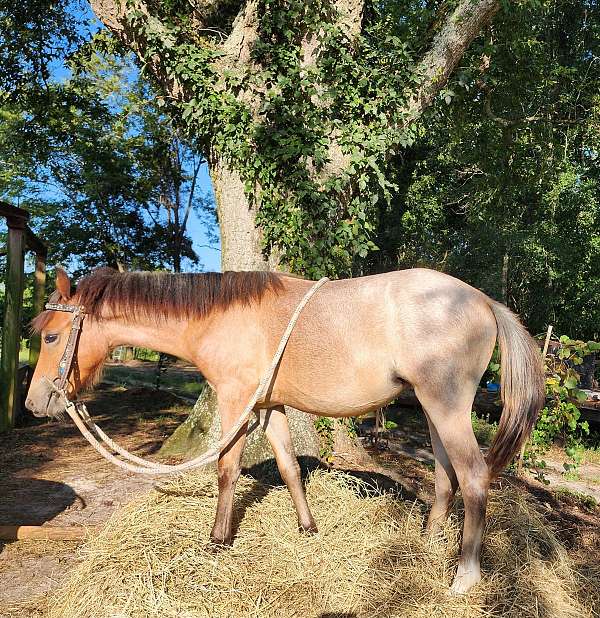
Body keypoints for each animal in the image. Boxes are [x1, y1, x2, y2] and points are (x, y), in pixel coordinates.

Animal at [27, 266, 544, 592]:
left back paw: (465, 576)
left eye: (52, 336)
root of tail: (484, 300)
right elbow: (289, 467)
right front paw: (308, 528)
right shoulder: (270, 407)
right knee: (444, 477)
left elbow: (227, 469)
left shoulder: (236, 402)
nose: (35, 403)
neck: (221, 318)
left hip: (447, 404)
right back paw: (425, 542)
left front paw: (218, 540)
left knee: (473, 477)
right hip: (433, 408)